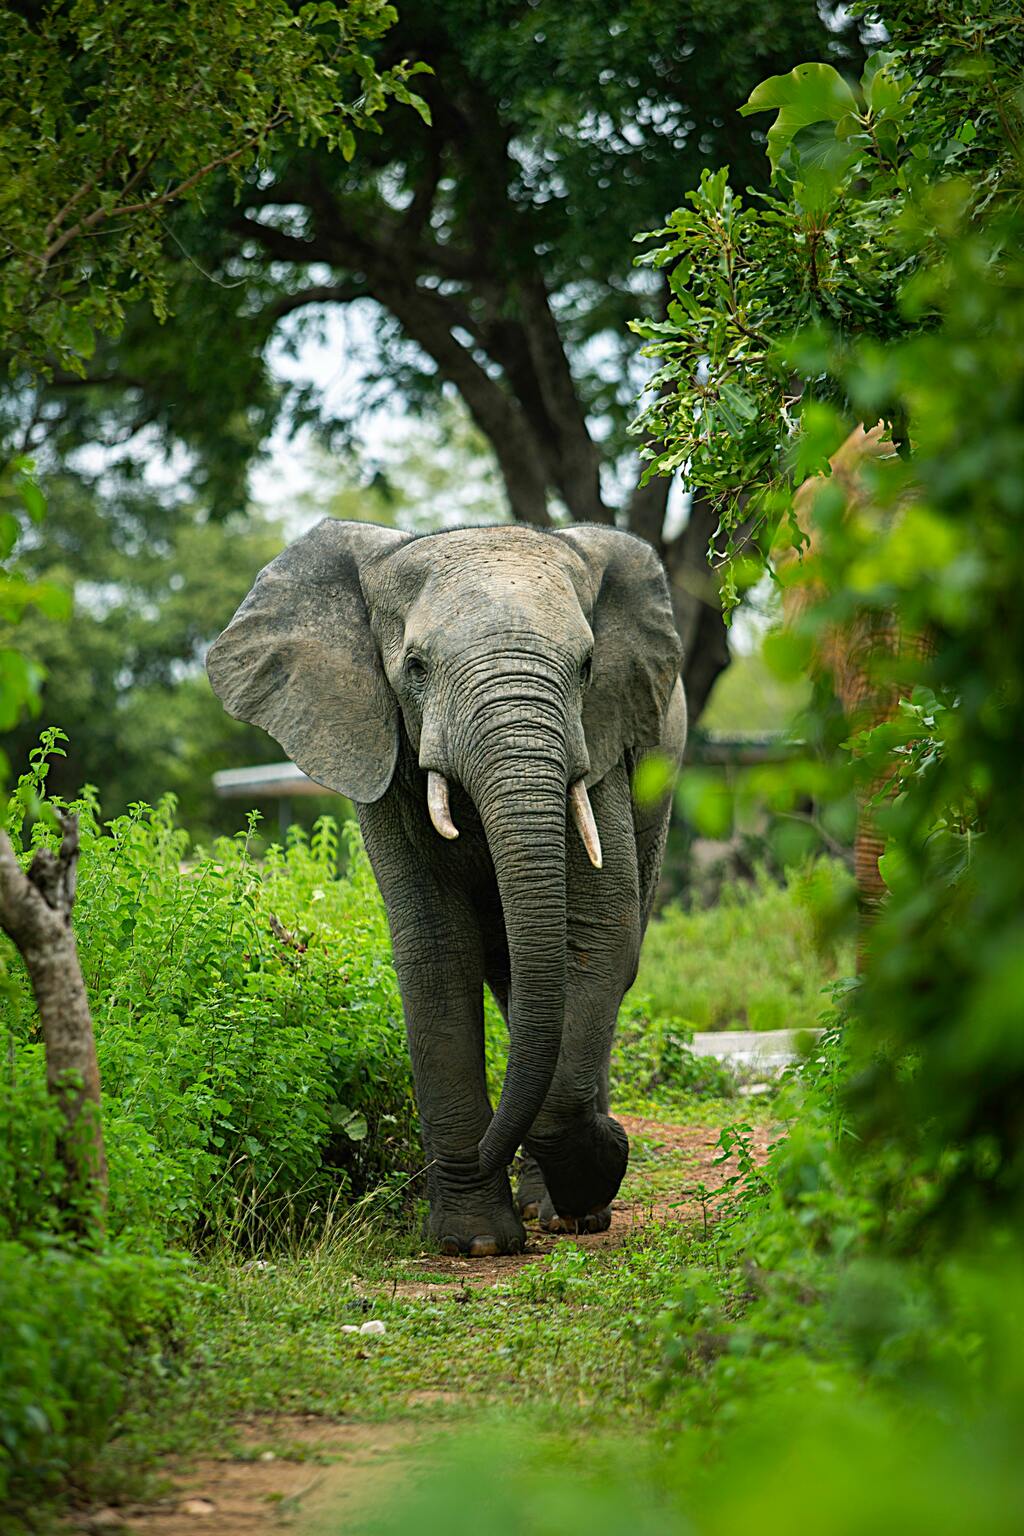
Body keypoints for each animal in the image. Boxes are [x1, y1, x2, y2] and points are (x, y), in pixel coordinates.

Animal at [207, 519, 686, 1256]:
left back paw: (562, 1213)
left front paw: (599, 1164)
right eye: (416, 668)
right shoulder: (381, 757)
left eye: (586, 668)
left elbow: (596, 940)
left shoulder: (604, 751)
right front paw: (475, 1243)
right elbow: (436, 949)